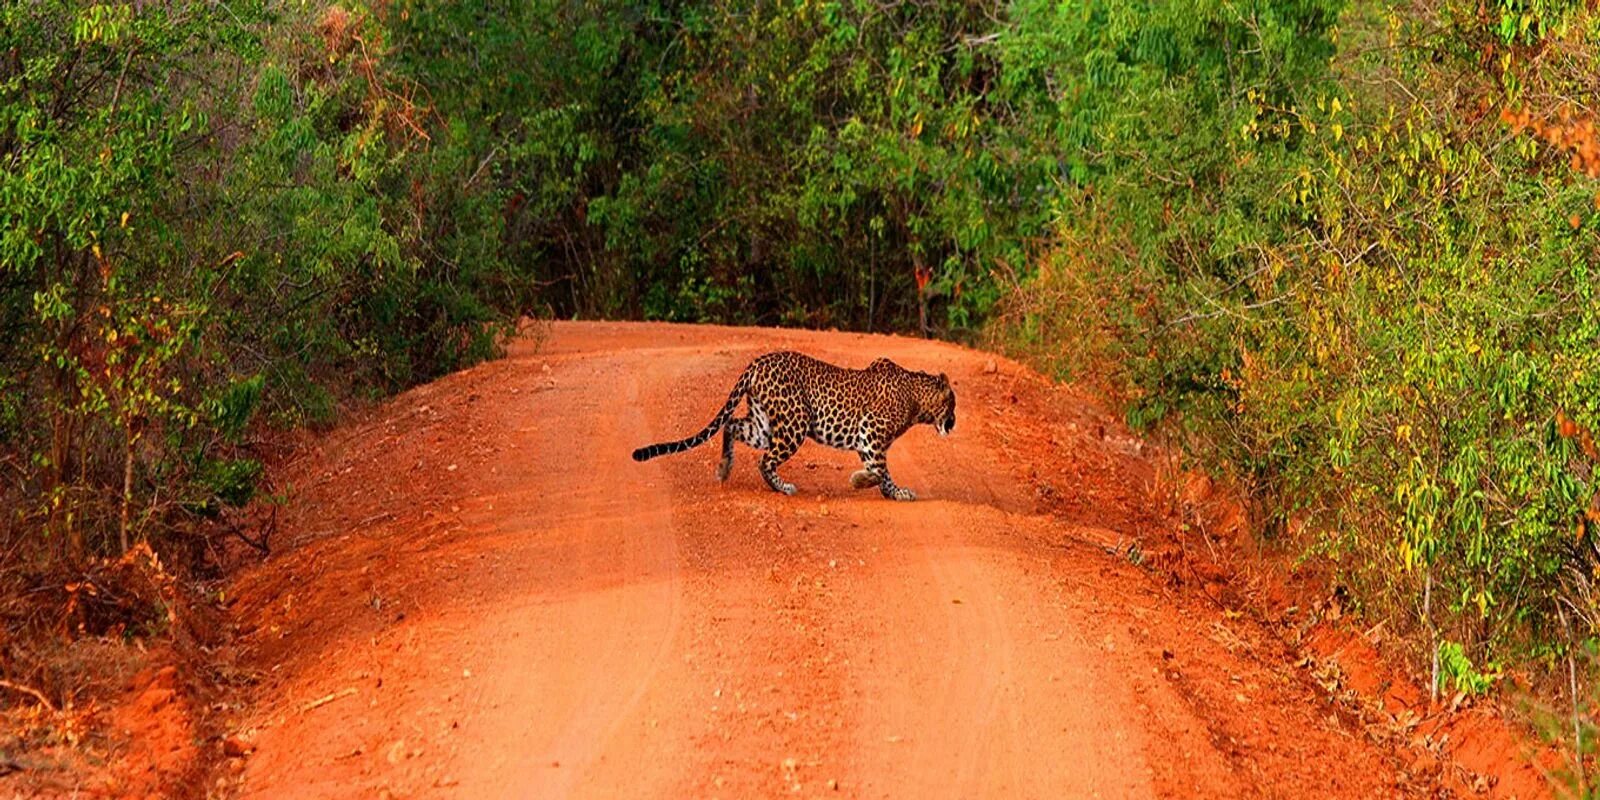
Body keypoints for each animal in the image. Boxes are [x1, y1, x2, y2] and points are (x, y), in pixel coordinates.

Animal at [630, 352, 953, 499]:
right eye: (953, 405)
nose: (953, 424)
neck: (916, 398)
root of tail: (756, 363)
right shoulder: (871, 432)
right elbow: (880, 470)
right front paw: (885, 489)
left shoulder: (867, 437)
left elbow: (878, 469)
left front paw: (880, 488)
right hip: (795, 424)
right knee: (764, 460)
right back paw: (783, 487)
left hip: (763, 425)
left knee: (732, 425)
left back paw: (724, 468)